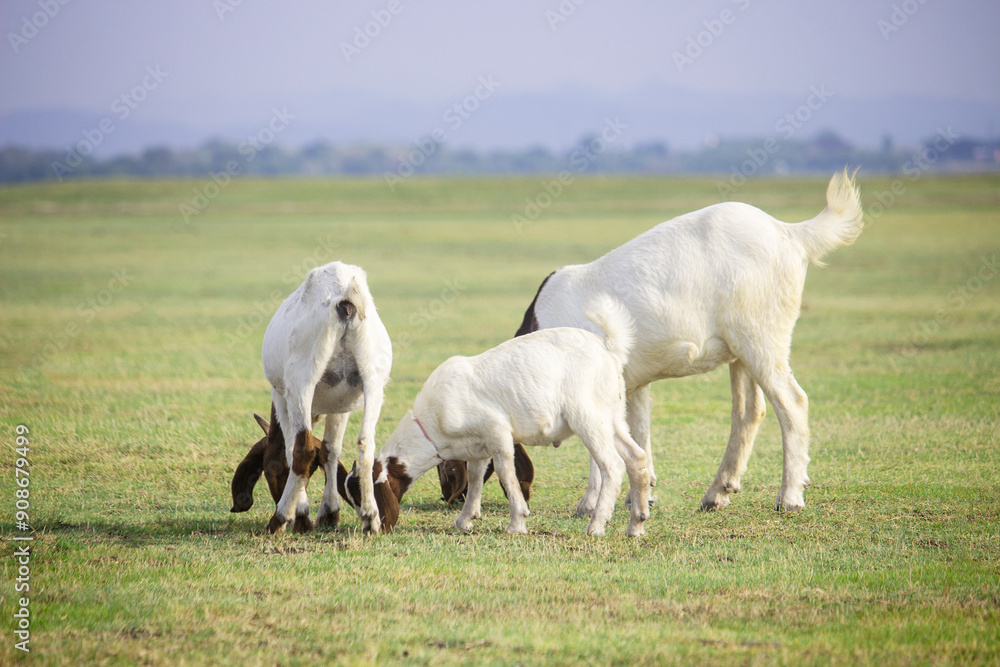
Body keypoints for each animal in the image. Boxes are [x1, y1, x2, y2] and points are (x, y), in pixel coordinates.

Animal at [260, 261, 392, 534]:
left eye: (269, 470)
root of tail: (345, 293)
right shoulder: (340, 405)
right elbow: (331, 450)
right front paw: (330, 511)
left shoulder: (281, 397)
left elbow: (292, 450)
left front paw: (302, 513)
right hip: (374, 382)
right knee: (366, 443)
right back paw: (370, 517)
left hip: (301, 381)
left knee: (303, 450)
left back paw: (279, 519)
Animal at [343, 296, 652, 537]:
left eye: (364, 496)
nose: (371, 528)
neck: (432, 425)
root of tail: (608, 348)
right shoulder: (478, 446)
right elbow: (475, 476)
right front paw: (465, 519)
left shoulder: (498, 431)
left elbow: (505, 472)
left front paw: (517, 522)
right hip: (612, 415)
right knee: (636, 458)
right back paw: (636, 525)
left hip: (587, 417)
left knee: (612, 465)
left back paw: (596, 526)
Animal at [441, 169, 863, 513]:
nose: (450, 496)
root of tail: (789, 232)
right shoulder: (631, 385)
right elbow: (637, 430)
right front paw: (640, 494)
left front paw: (591, 502)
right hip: (740, 349)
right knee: (748, 412)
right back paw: (718, 491)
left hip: (762, 336)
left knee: (791, 403)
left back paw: (789, 496)